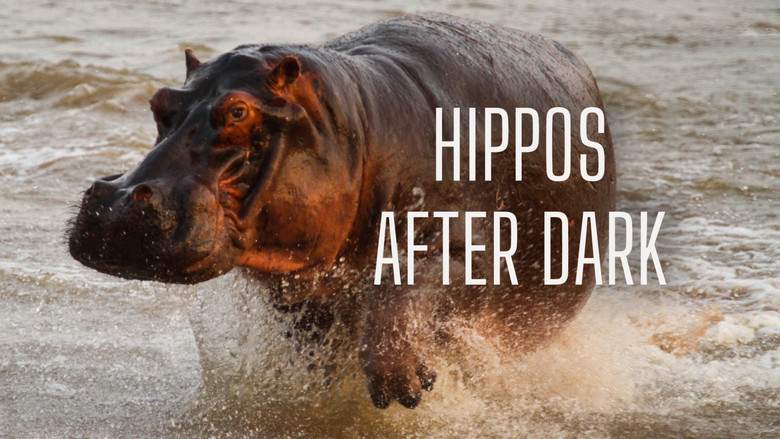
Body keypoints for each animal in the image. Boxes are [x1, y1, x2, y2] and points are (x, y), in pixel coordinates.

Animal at [68, 13, 615, 409]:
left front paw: (405, 387)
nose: (118, 201)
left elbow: (404, 291)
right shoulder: (297, 288)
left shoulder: (468, 252)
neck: (357, 121)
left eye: (239, 111)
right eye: (159, 102)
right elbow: (316, 347)